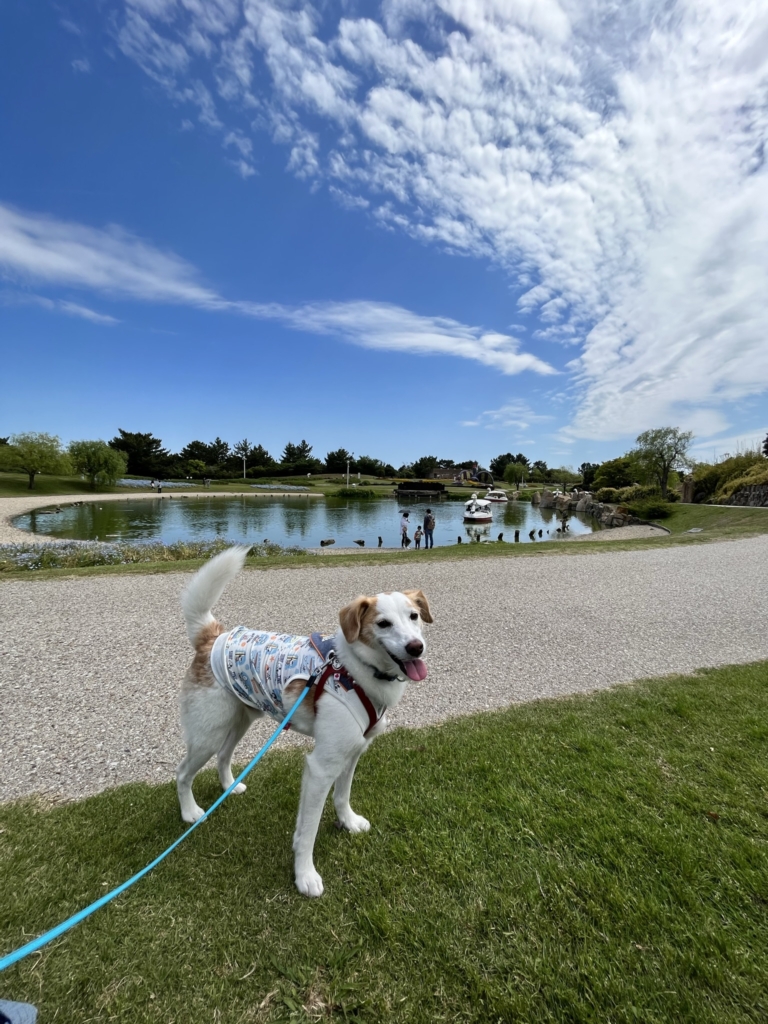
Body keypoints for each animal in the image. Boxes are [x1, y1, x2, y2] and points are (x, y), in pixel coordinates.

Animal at [177, 548, 436, 892]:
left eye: (414, 617)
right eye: (383, 624)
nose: (415, 647)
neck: (356, 671)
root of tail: (213, 636)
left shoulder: (353, 751)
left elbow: (342, 796)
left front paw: (348, 822)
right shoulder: (320, 767)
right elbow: (307, 832)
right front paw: (305, 875)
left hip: (239, 721)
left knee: (223, 756)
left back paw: (229, 787)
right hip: (208, 733)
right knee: (183, 773)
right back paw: (190, 812)